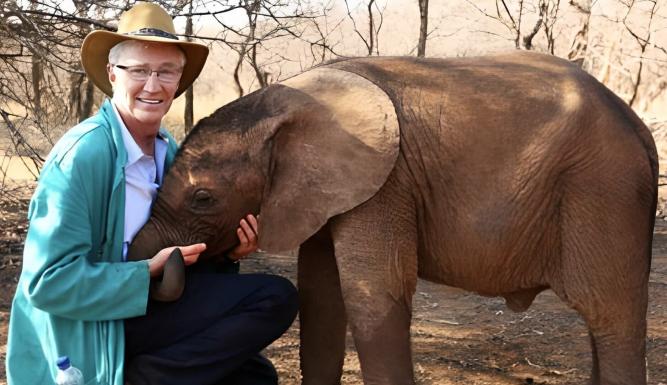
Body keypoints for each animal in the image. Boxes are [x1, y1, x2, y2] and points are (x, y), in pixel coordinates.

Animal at [128, 51, 656, 384]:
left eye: (202, 199)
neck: (287, 100)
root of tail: (639, 129)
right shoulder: (327, 189)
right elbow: (321, 295)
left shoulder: (386, 182)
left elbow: (372, 295)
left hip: (604, 191)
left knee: (611, 317)